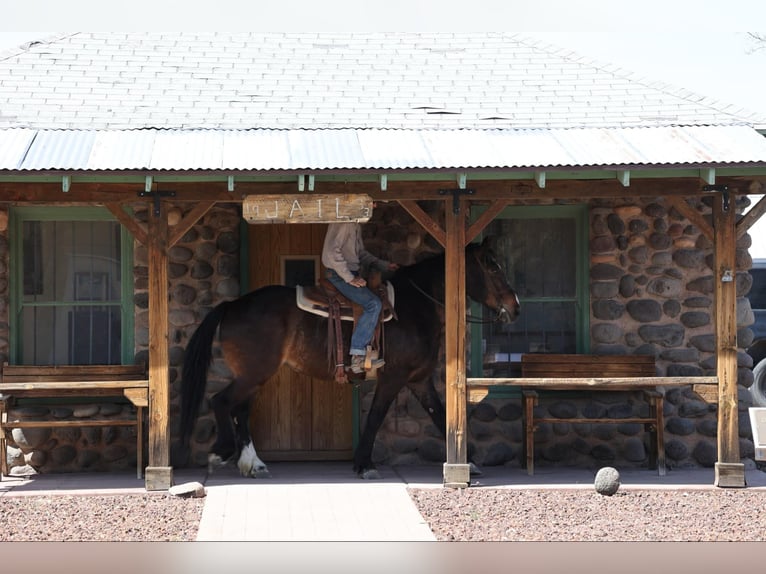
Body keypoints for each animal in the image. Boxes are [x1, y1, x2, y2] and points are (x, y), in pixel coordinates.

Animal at [180, 236, 521, 479]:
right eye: (492, 266)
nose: (515, 306)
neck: (414, 308)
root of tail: (232, 305)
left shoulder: (419, 380)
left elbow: (440, 414)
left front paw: (470, 463)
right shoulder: (393, 378)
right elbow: (376, 416)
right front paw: (364, 464)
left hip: (253, 375)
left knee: (240, 409)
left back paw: (253, 464)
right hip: (254, 373)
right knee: (222, 402)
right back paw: (222, 452)